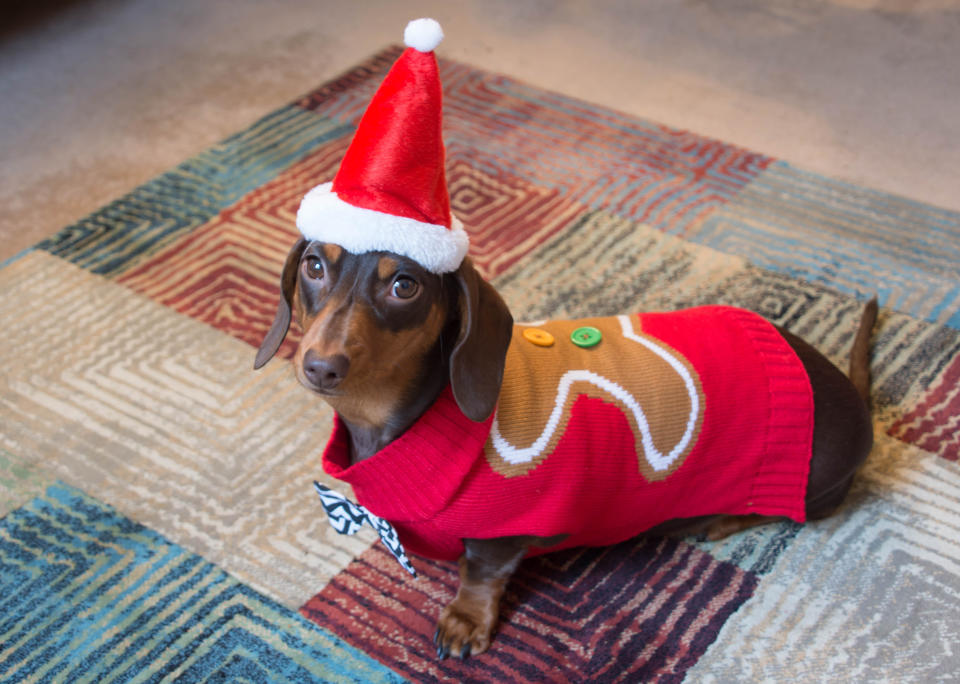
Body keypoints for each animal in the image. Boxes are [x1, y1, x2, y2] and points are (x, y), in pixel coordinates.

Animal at [255, 239, 876, 656]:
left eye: (404, 284)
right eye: (314, 266)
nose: (321, 366)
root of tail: (853, 399)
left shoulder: (506, 531)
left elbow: (482, 573)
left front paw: (465, 620)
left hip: (811, 480)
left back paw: (723, 519)